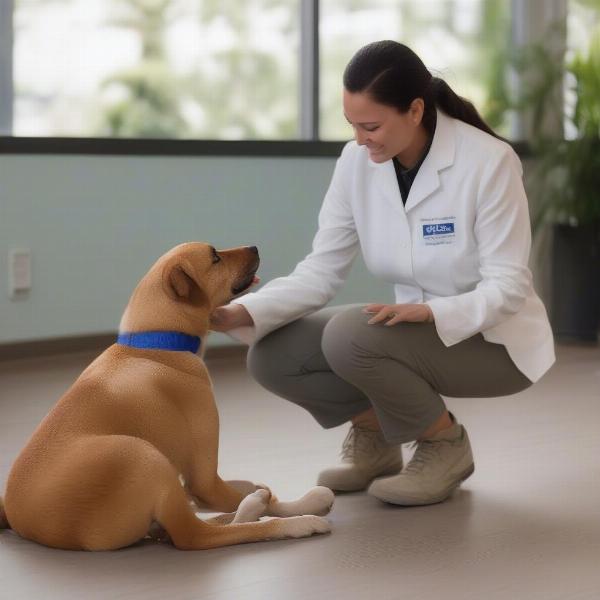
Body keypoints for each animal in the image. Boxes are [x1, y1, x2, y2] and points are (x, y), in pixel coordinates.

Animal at [0, 243, 332, 548]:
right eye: (215, 257)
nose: (254, 247)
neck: (155, 344)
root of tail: (23, 521)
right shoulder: (205, 480)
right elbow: (230, 498)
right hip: (143, 456)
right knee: (195, 535)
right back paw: (295, 520)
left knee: (180, 526)